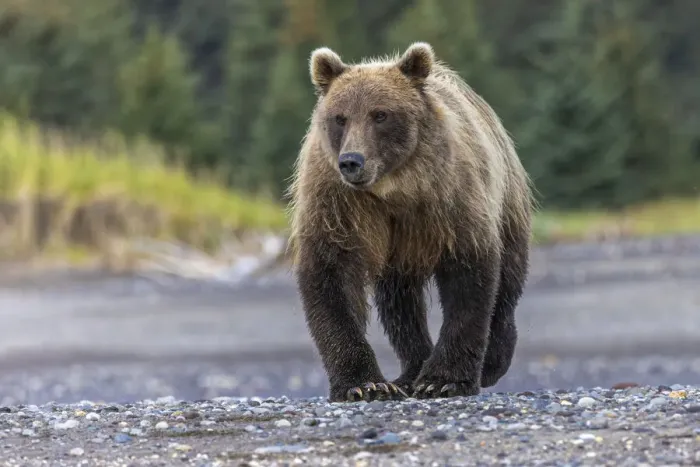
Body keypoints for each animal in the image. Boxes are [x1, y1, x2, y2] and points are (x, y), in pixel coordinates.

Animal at [286, 42, 534, 403]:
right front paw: (363, 384)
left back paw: (492, 361)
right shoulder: (338, 204)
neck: (393, 189)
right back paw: (410, 372)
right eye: (339, 117)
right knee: (400, 305)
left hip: (507, 199)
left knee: (508, 281)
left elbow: (468, 278)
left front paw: (444, 380)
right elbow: (331, 272)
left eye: (380, 114)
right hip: (399, 255)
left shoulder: (452, 199)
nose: (351, 162)